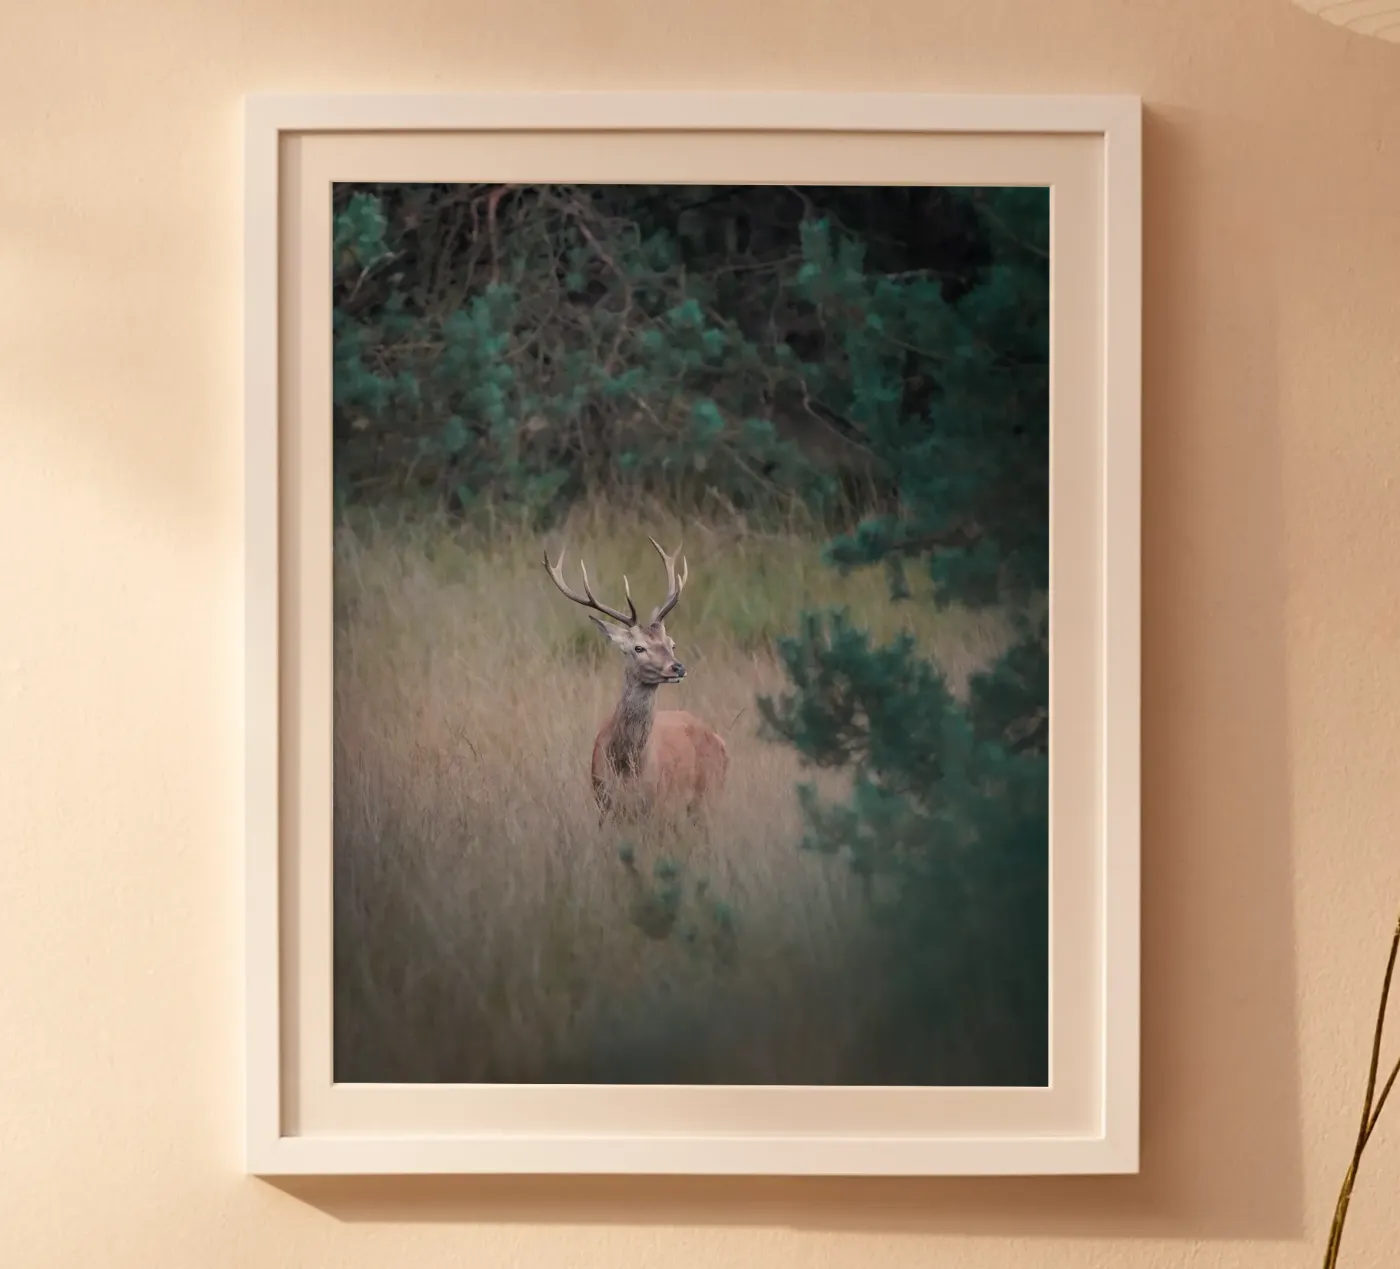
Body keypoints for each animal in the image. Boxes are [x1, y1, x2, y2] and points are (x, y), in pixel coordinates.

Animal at [543, 537, 728, 826]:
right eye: (638, 648)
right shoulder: (603, 801)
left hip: (709, 795)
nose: (678, 667)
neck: (626, 768)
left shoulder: (657, 805)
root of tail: (718, 739)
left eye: (671, 644)